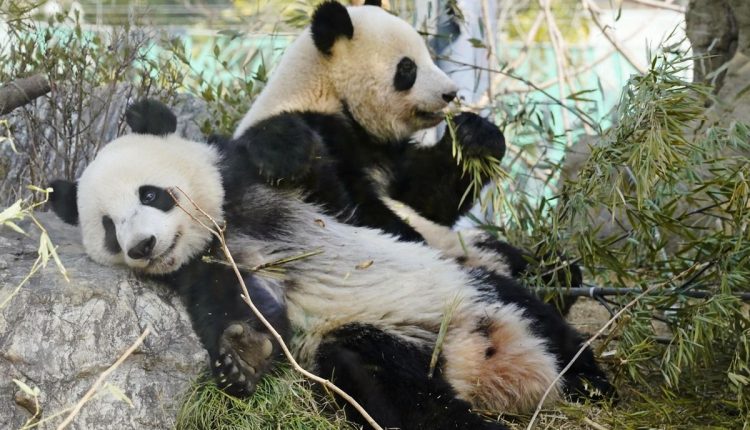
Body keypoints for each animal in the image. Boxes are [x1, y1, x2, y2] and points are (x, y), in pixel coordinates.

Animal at [49, 100, 613, 430]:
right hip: (387, 345)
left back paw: (595, 388)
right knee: (387, 386)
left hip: (470, 289)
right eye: (109, 227)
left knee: (547, 327)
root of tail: (483, 363)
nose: (142, 246)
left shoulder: (275, 192)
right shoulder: (205, 269)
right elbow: (240, 305)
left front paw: (280, 145)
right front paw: (241, 355)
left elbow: (351, 199)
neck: (225, 227)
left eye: (151, 194)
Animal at [229, 0, 582, 314]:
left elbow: (426, 198)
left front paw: (476, 136)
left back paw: (557, 276)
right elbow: (341, 206)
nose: (450, 93)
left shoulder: (389, 153)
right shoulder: (317, 125)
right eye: (408, 67)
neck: (329, 94)